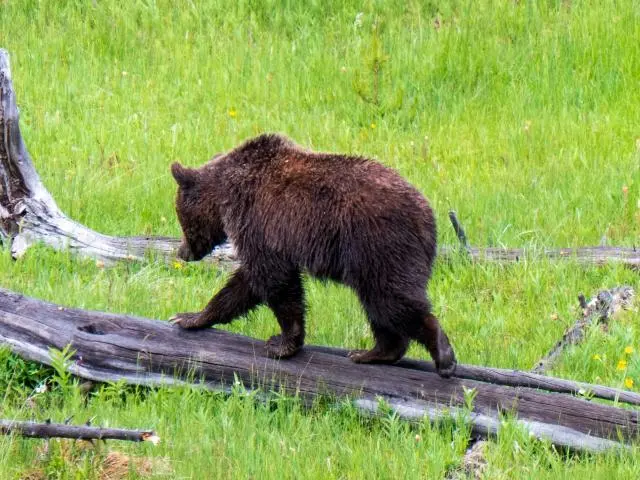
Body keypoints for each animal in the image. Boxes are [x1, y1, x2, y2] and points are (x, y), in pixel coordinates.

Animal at [169, 133, 457, 377]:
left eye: (181, 218)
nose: (182, 251)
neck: (225, 197)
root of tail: (428, 216)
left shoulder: (260, 221)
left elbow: (273, 279)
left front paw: (282, 343)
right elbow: (246, 284)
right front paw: (190, 317)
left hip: (379, 244)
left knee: (391, 299)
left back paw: (442, 355)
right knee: (378, 305)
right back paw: (372, 352)